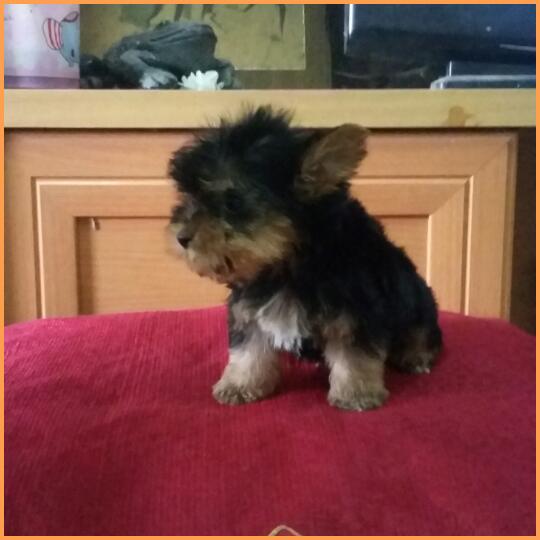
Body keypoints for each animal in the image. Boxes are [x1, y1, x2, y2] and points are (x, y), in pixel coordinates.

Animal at [169, 106, 442, 411]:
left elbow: (355, 354)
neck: (286, 265)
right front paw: (240, 384)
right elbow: (248, 349)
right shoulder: (248, 308)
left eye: (233, 202)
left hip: (417, 298)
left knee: (421, 329)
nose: (181, 237)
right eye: (189, 196)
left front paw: (356, 393)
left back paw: (415, 355)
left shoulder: (357, 310)